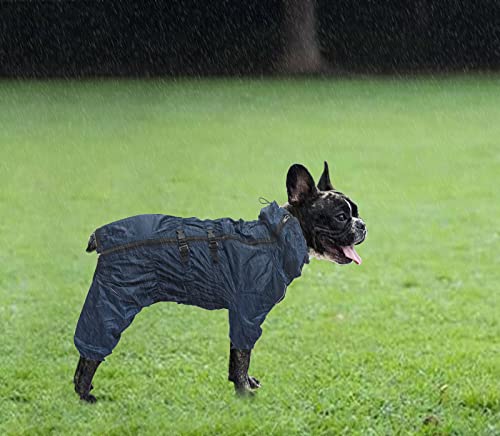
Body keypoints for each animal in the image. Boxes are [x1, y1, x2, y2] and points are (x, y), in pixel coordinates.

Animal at [72, 162, 366, 400]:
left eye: (356, 212)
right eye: (341, 216)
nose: (362, 224)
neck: (276, 237)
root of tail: (102, 236)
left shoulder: (242, 315)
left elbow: (237, 356)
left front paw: (244, 384)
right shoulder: (247, 314)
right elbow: (242, 355)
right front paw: (243, 393)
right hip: (115, 301)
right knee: (92, 349)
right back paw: (85, 395)